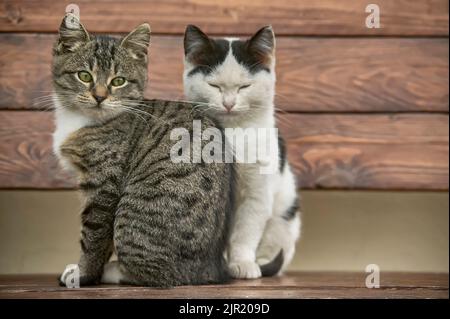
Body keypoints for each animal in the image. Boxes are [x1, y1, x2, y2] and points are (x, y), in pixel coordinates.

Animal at [52, 15, 234, 288]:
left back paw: (115, 272)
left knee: (159, 275)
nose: (99, 97)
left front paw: (83, 274)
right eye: (84, 76)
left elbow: (94, 236)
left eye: (118, 81)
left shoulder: (103, 184)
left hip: (134, 213)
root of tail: (209, 269)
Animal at [181, 26, 300, 278]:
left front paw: (243, 263)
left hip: (284, 218)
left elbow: (246, 234)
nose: (228, 103)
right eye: (214, 85)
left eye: (245, 86)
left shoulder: (257, 195)